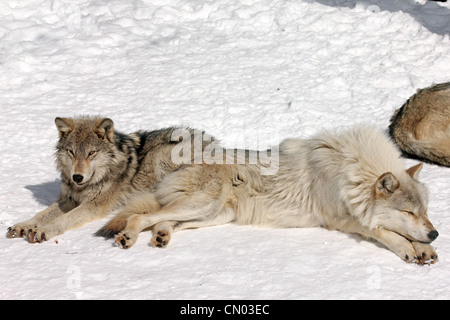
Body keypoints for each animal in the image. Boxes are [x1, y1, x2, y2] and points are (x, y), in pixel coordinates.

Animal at [6, 116, 211, 244]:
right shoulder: (69, 199)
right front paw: (22, 226)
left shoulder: (93, 205)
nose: (77, 177)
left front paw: (43, 230)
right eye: (71, 152)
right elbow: (41, 214)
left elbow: (63, 219)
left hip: (163, 157)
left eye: (91, 153)